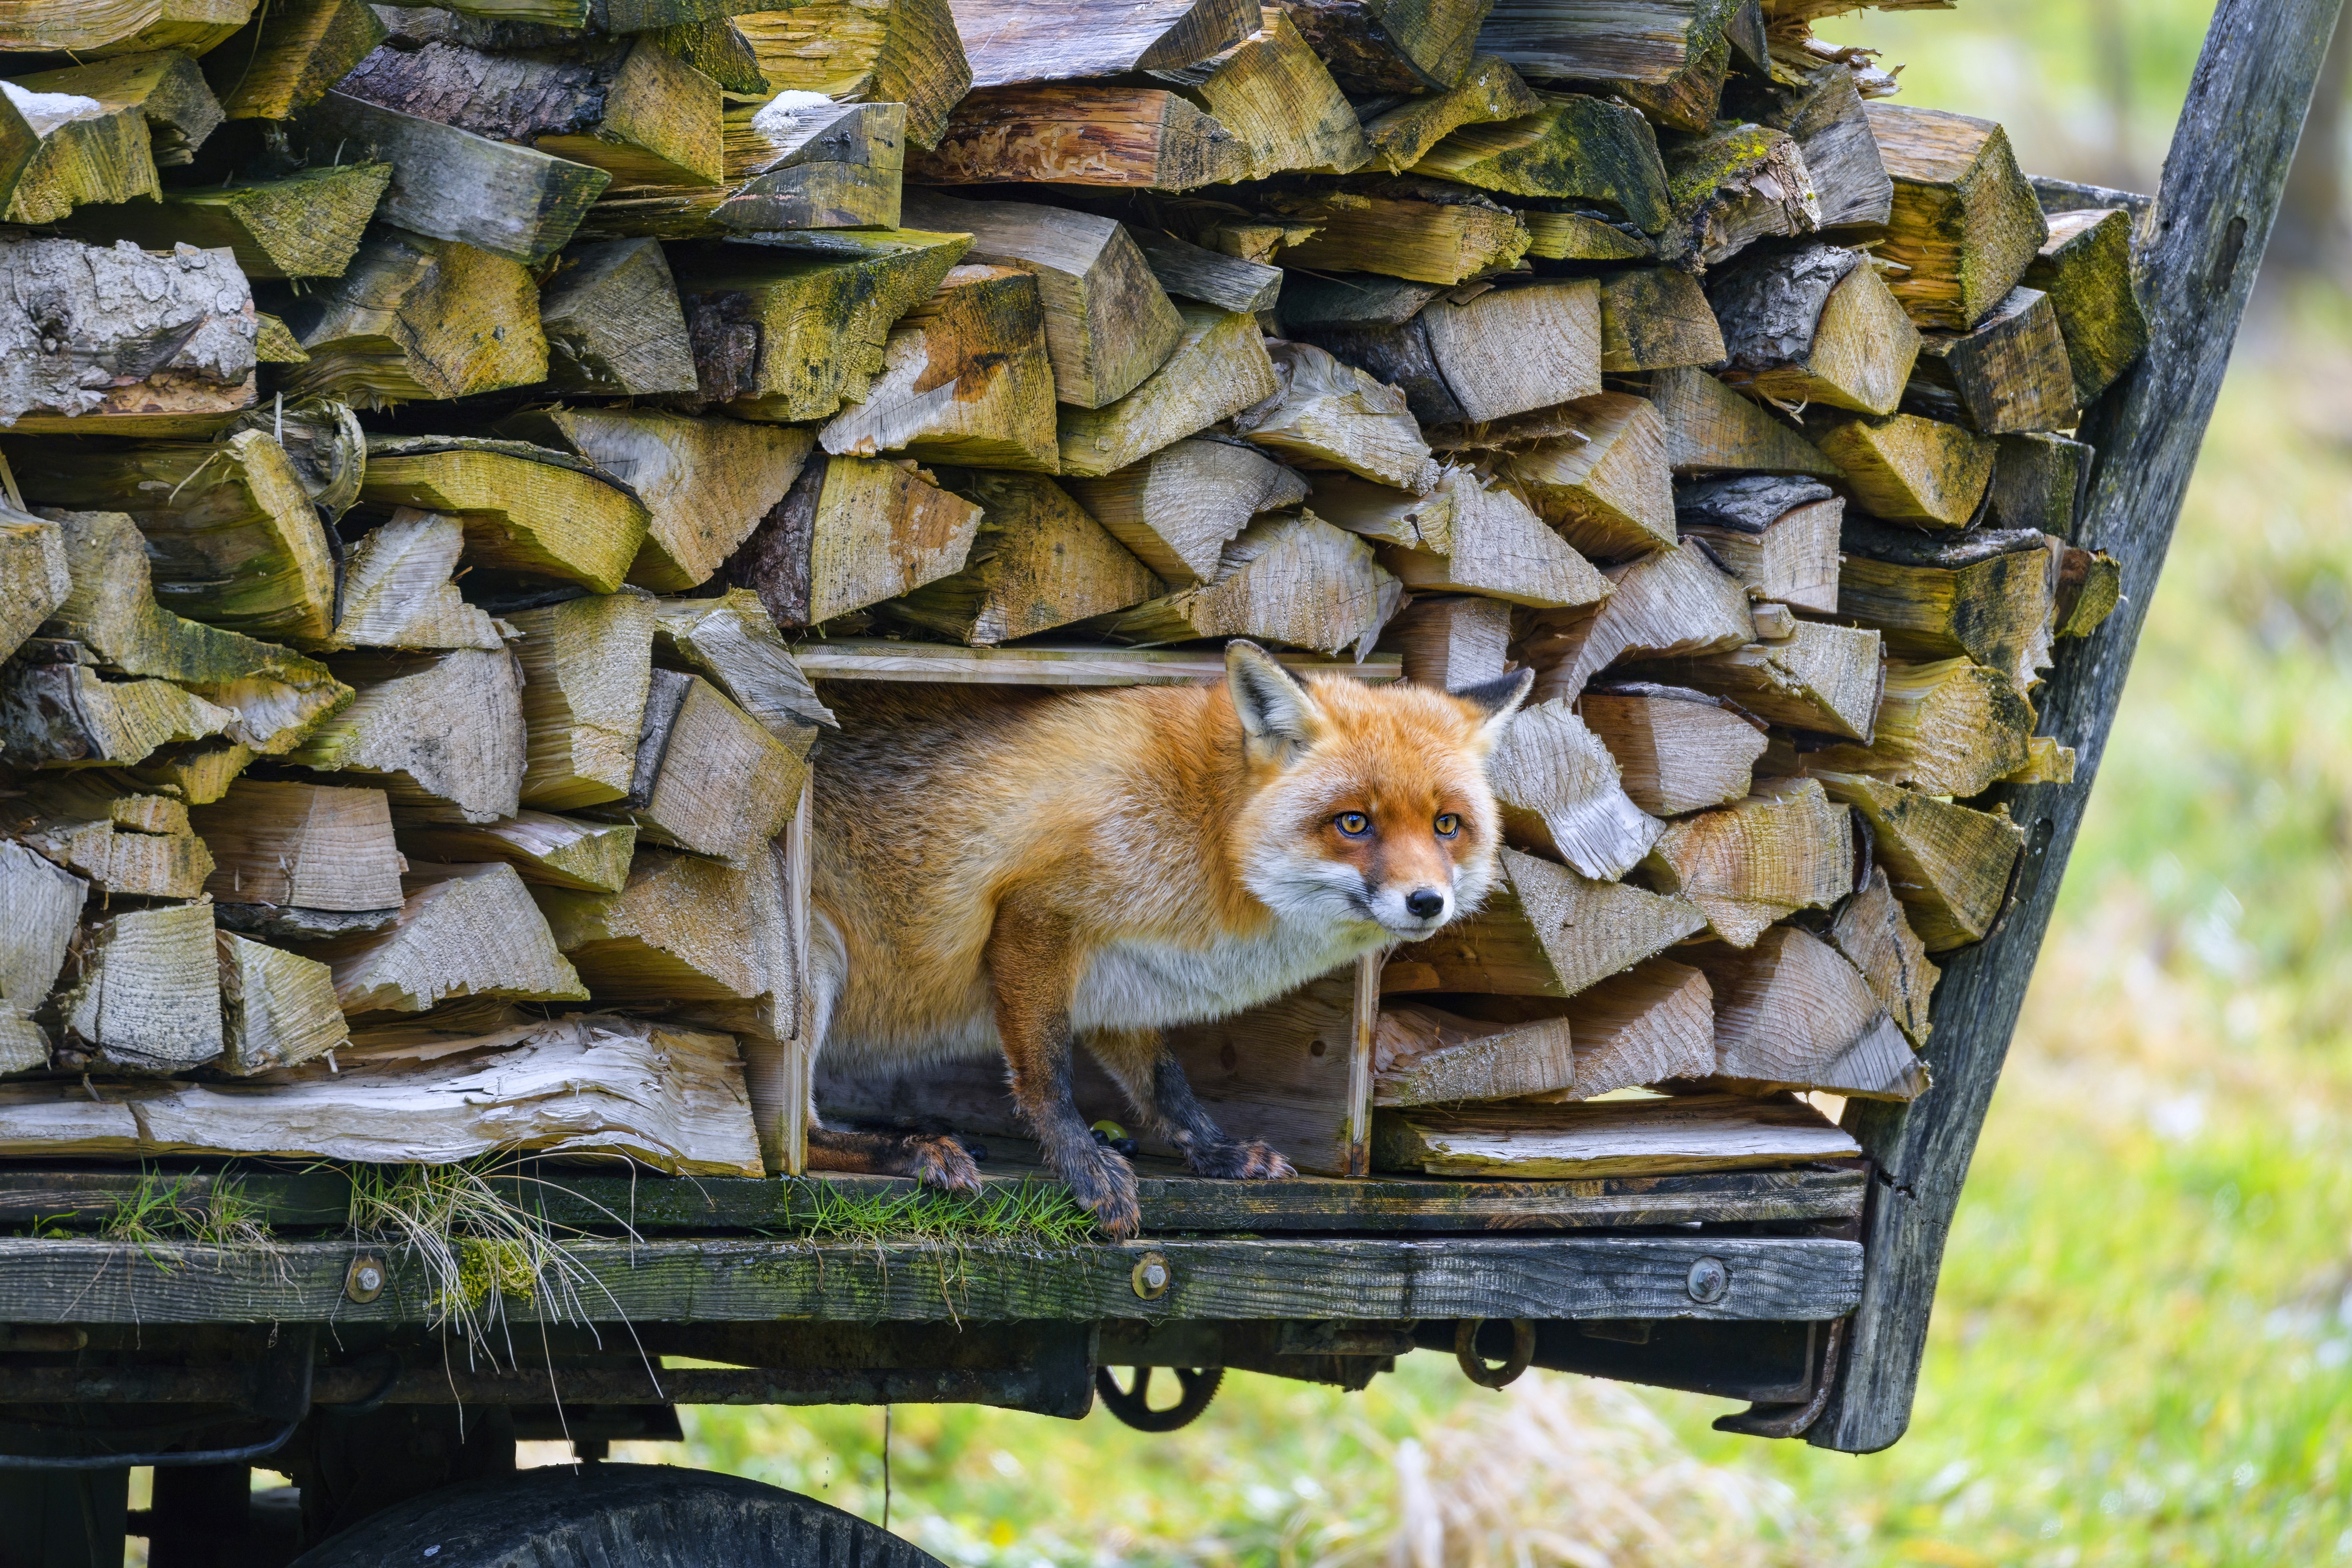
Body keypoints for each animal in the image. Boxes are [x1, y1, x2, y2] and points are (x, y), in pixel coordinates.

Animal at [802, 639, 1533, 1236]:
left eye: (1446, 825)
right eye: (1354, 822)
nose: (1427, 902)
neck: (1206, 833)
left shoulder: (1118, 978)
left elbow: (1165, 1084)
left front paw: (1217, 1152)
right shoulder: (1035, 914)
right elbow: (1047, 1076)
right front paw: (1084, 1166)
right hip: (818, 963)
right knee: (800, 1137)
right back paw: (907, 1148)